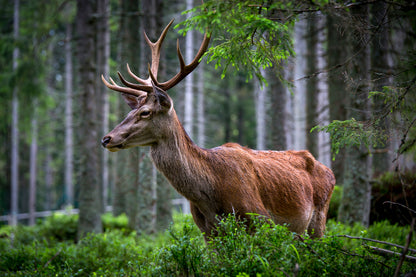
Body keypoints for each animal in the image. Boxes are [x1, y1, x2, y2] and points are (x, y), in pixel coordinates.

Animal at [101, 19, 334, 238]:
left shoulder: (259, 219)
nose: (106, 139)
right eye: (129, 112)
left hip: (319, 219)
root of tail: (329, 172)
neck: (210, 192)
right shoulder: (207, 231)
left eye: (145, 112)